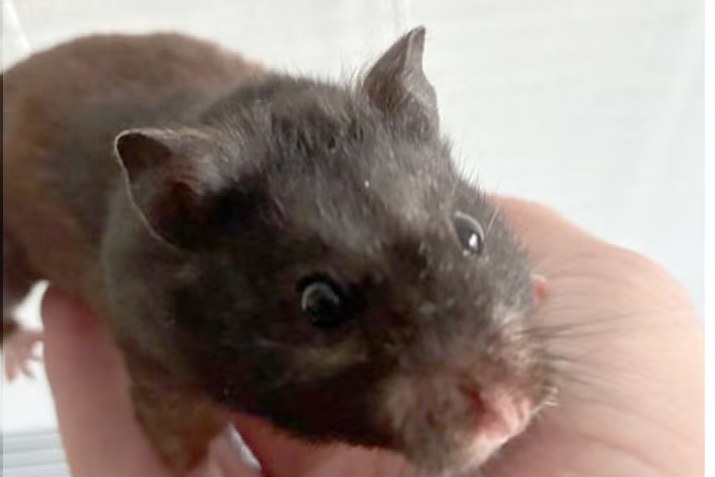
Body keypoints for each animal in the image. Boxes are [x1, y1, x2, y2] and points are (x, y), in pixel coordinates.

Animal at [2, 27, 555, 475]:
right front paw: (219, 466)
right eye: (319, 304)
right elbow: (181, 441)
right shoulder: (152, 364)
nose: (509, 415)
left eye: (471, 235)